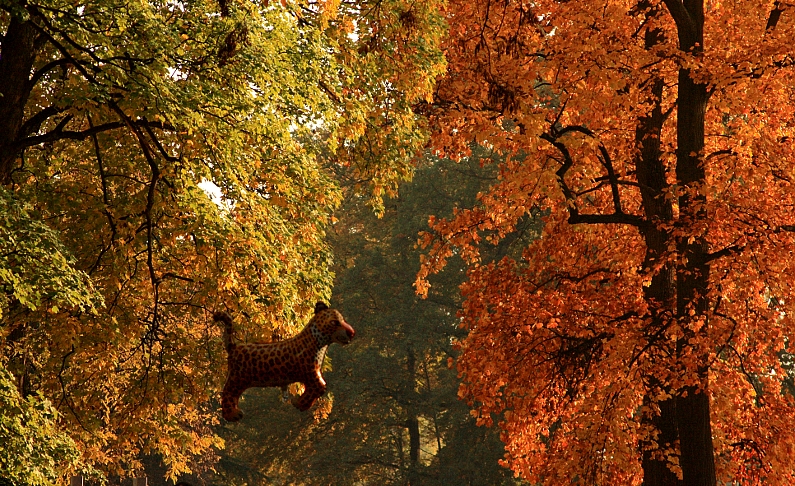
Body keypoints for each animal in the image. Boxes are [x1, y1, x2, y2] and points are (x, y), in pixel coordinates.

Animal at [215, 304, 358, 422]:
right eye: (334, 322)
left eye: (343, 320)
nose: (352, 333)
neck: (320, 343)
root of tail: (233, 347)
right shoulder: (312, 374)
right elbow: (320, 386)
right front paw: (298, 403)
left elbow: (318, 389)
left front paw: (299, 403)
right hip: (237, 378)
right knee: (227, 393)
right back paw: (233, 415)